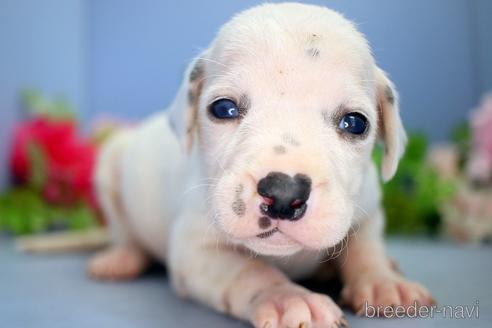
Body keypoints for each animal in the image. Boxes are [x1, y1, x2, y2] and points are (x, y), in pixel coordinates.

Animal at [88, 3, 434, 328]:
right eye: (223, 109)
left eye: (355, 123)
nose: (283, 193)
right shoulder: (195, 249)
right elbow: (250, 271)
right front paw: (289, 299)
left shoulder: (368, 208)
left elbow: (366, 246)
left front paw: (384, 281)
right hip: (111, 166)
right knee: (125, 233)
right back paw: (120, 259)